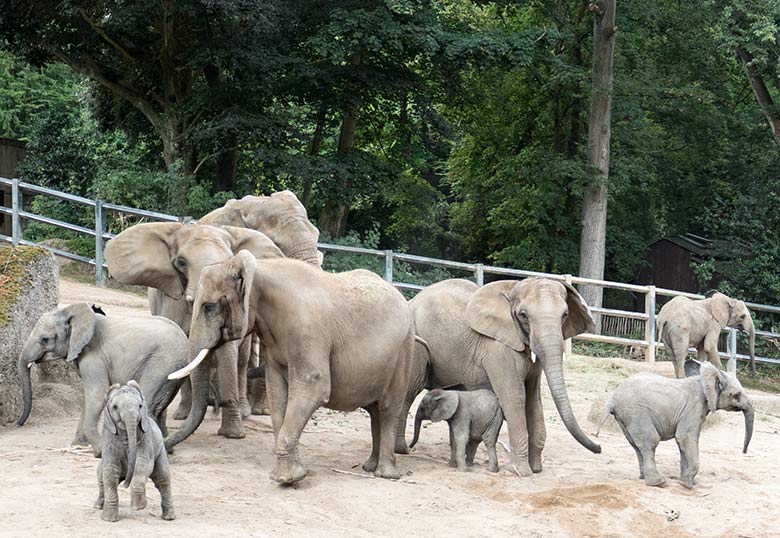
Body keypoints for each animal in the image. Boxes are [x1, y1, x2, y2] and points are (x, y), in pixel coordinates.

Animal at [95, 378, 174, 520]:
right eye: (115, 407)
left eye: (140, 406)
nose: (126, 485)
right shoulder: (108, 438)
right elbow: (110, 471)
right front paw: (109, 519)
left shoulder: (145, 438)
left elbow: (142, 464)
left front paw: (139, 507)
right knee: (100, 476)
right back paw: (98, 506)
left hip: (160, 452)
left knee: (163, 479)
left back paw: (169, 517)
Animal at [104, 223, 284, 444]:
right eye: (181, 262)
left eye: (230, 262)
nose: (216, 404)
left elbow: (228, 354)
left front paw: (233, 435)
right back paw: (182, 414)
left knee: (241, 360)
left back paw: (240, 411)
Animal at [400, 278, 600, 476]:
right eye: (523, 315)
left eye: (565, 315)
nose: (598, 448)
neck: (511, 289)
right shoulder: (498, 348)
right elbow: (515, 397)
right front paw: (519, 472)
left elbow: (533, 400)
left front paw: (536, 469)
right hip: (414, 343)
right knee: (410, 390)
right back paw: (402, 450)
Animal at [600, 362, 752, 488]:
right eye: (736, 395)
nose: (744, 452)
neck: (704, 379)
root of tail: (613, 398)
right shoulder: (694, 407)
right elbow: (685, 438)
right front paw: (686, 485)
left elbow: (683, 443)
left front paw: (688, 481)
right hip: (636, 413)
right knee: (650, 442)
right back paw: (658, 482)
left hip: (625, 418)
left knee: (637, 446)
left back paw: (643, 478)